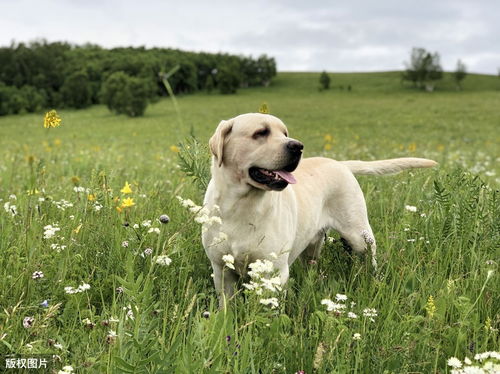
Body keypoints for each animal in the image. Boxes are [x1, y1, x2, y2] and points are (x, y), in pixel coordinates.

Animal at [201, 114, 436, 306]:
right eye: (260, 133)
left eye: (285, 133)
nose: (297, 146)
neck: (241, 205)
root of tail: (341, 163)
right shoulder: (221, 269)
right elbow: (226, 306)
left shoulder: (274, 270)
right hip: (312, 246)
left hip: (359, 235)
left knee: (370, 257)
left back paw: (373, 279)